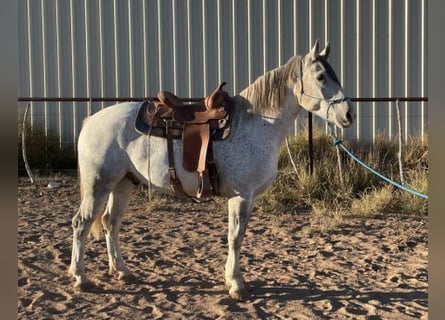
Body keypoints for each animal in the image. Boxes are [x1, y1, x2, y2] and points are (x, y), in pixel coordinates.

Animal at [68, 39, 354, 300]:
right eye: (321, 76)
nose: (348, 114)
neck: (257, 123)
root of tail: (91, 120)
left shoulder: (249, 198)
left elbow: (237, 236)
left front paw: (232, 279)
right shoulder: (240, 196)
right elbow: (235, 238)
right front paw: (236, 285)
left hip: (123, 183)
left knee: (110, 222)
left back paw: (121, 271)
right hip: (98, 185)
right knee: (81, 223)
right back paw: (81, 278)